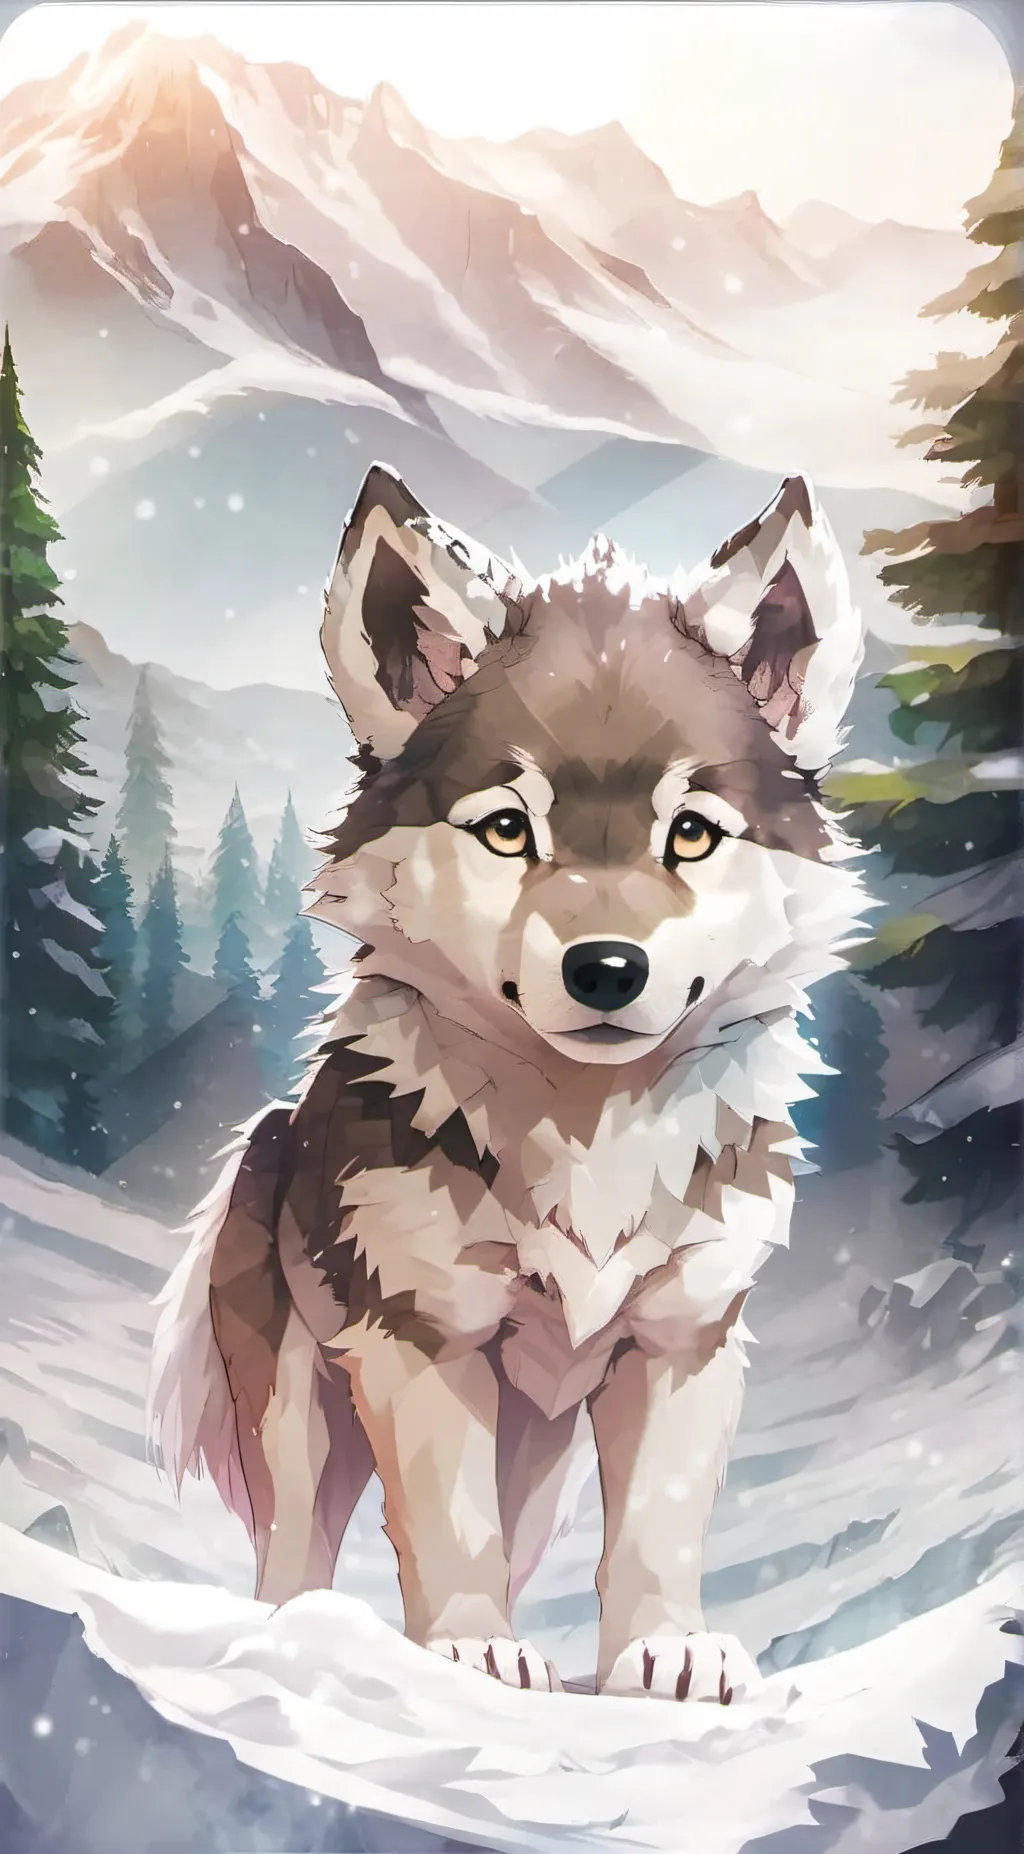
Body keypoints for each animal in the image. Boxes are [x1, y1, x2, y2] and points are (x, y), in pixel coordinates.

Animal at [151, 463, 868, 1703]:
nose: (606, 968)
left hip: (538, 1443)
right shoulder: (418, 1341)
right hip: (299, 1396)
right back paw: (301, 1630)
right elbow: (445, 1526)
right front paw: (467, 1652)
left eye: (690, 834)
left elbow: (657, 1529)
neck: (586, 1133)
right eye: (503, 829)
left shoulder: (681, 1340)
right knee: (293, 1541)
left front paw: (664, 1652)